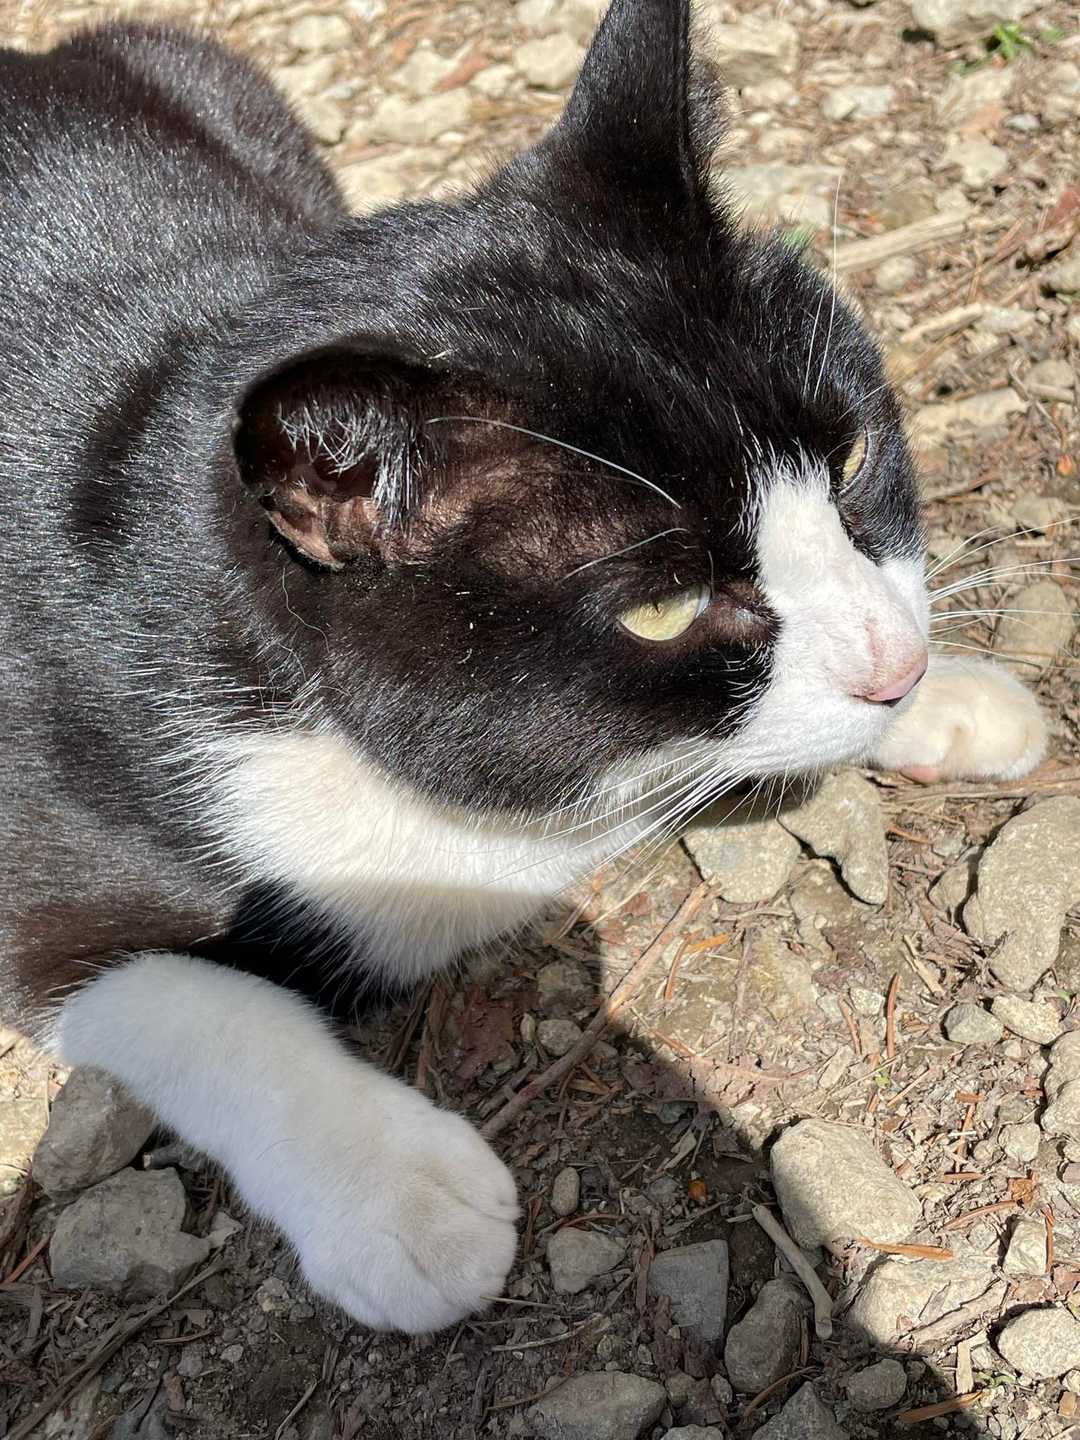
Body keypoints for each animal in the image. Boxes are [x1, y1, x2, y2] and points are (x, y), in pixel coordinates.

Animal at [0, 0, 1046, 1334]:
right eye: (665, 608)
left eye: (855, 458)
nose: (898, 664)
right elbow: (180, 997)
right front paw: (400, 1195)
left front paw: (953, 697)